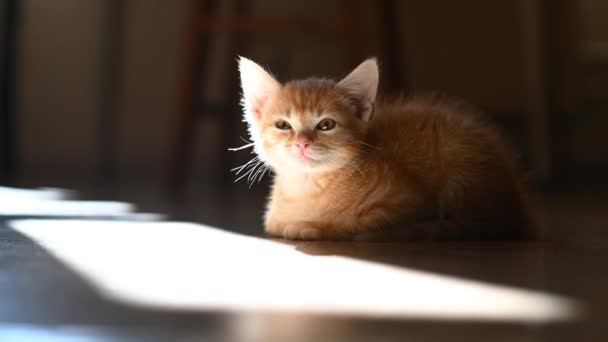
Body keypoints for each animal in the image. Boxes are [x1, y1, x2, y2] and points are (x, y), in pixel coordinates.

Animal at [236, 56, 532, 240]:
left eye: (326, 125)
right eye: (283, 125)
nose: (302, 142)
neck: (308, 187)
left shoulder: (411, 202)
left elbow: (355, 223)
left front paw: (313, 227)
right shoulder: (273, 219)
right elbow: (276, 224)